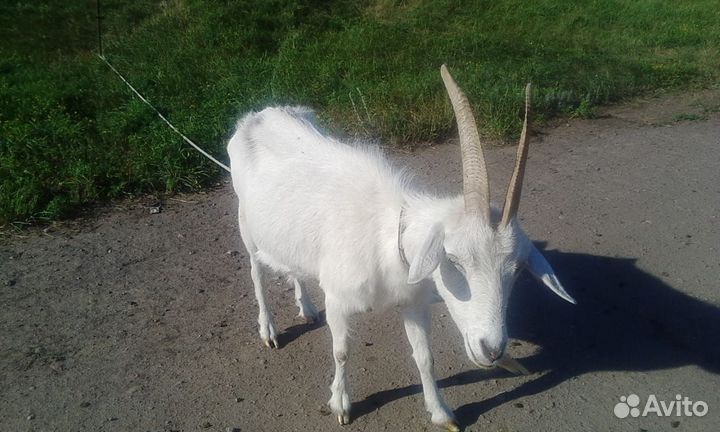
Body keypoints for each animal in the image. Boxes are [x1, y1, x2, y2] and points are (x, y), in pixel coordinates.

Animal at [227, 65, 575, 430]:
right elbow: (341, 352)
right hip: (246, 225)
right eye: (454, 260)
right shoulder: (337, 300)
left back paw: (306, 307)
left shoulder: (413, 302)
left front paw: (441, 412)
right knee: (256, 272)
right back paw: (269, 329)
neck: (387, 240)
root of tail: (259, 115)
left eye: (518, 268)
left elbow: (425, 357)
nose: (492, 349)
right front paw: (341, 404)